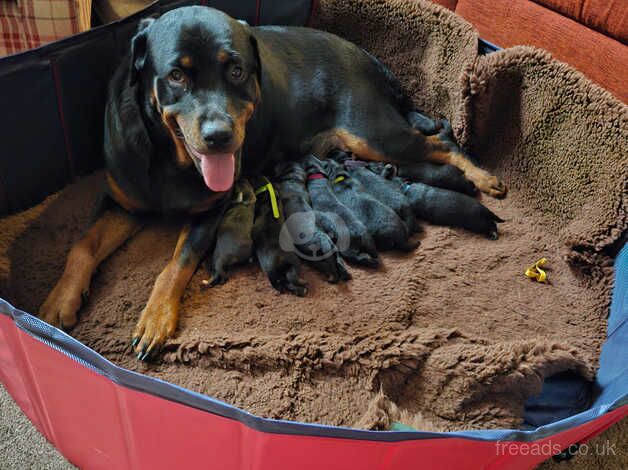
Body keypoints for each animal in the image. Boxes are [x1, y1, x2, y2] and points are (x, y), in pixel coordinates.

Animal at [38, 4, 506, 360]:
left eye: (237, 71)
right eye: (176, 76)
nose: (219, 135)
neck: (168, 157)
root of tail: (366, 56)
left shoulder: (211, 211)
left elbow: (175, 265)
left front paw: (155, 319)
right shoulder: (121, 201)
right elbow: (82, 247)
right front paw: (57, 304)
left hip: (373, 134)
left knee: (441, 137)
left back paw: (484, 177)